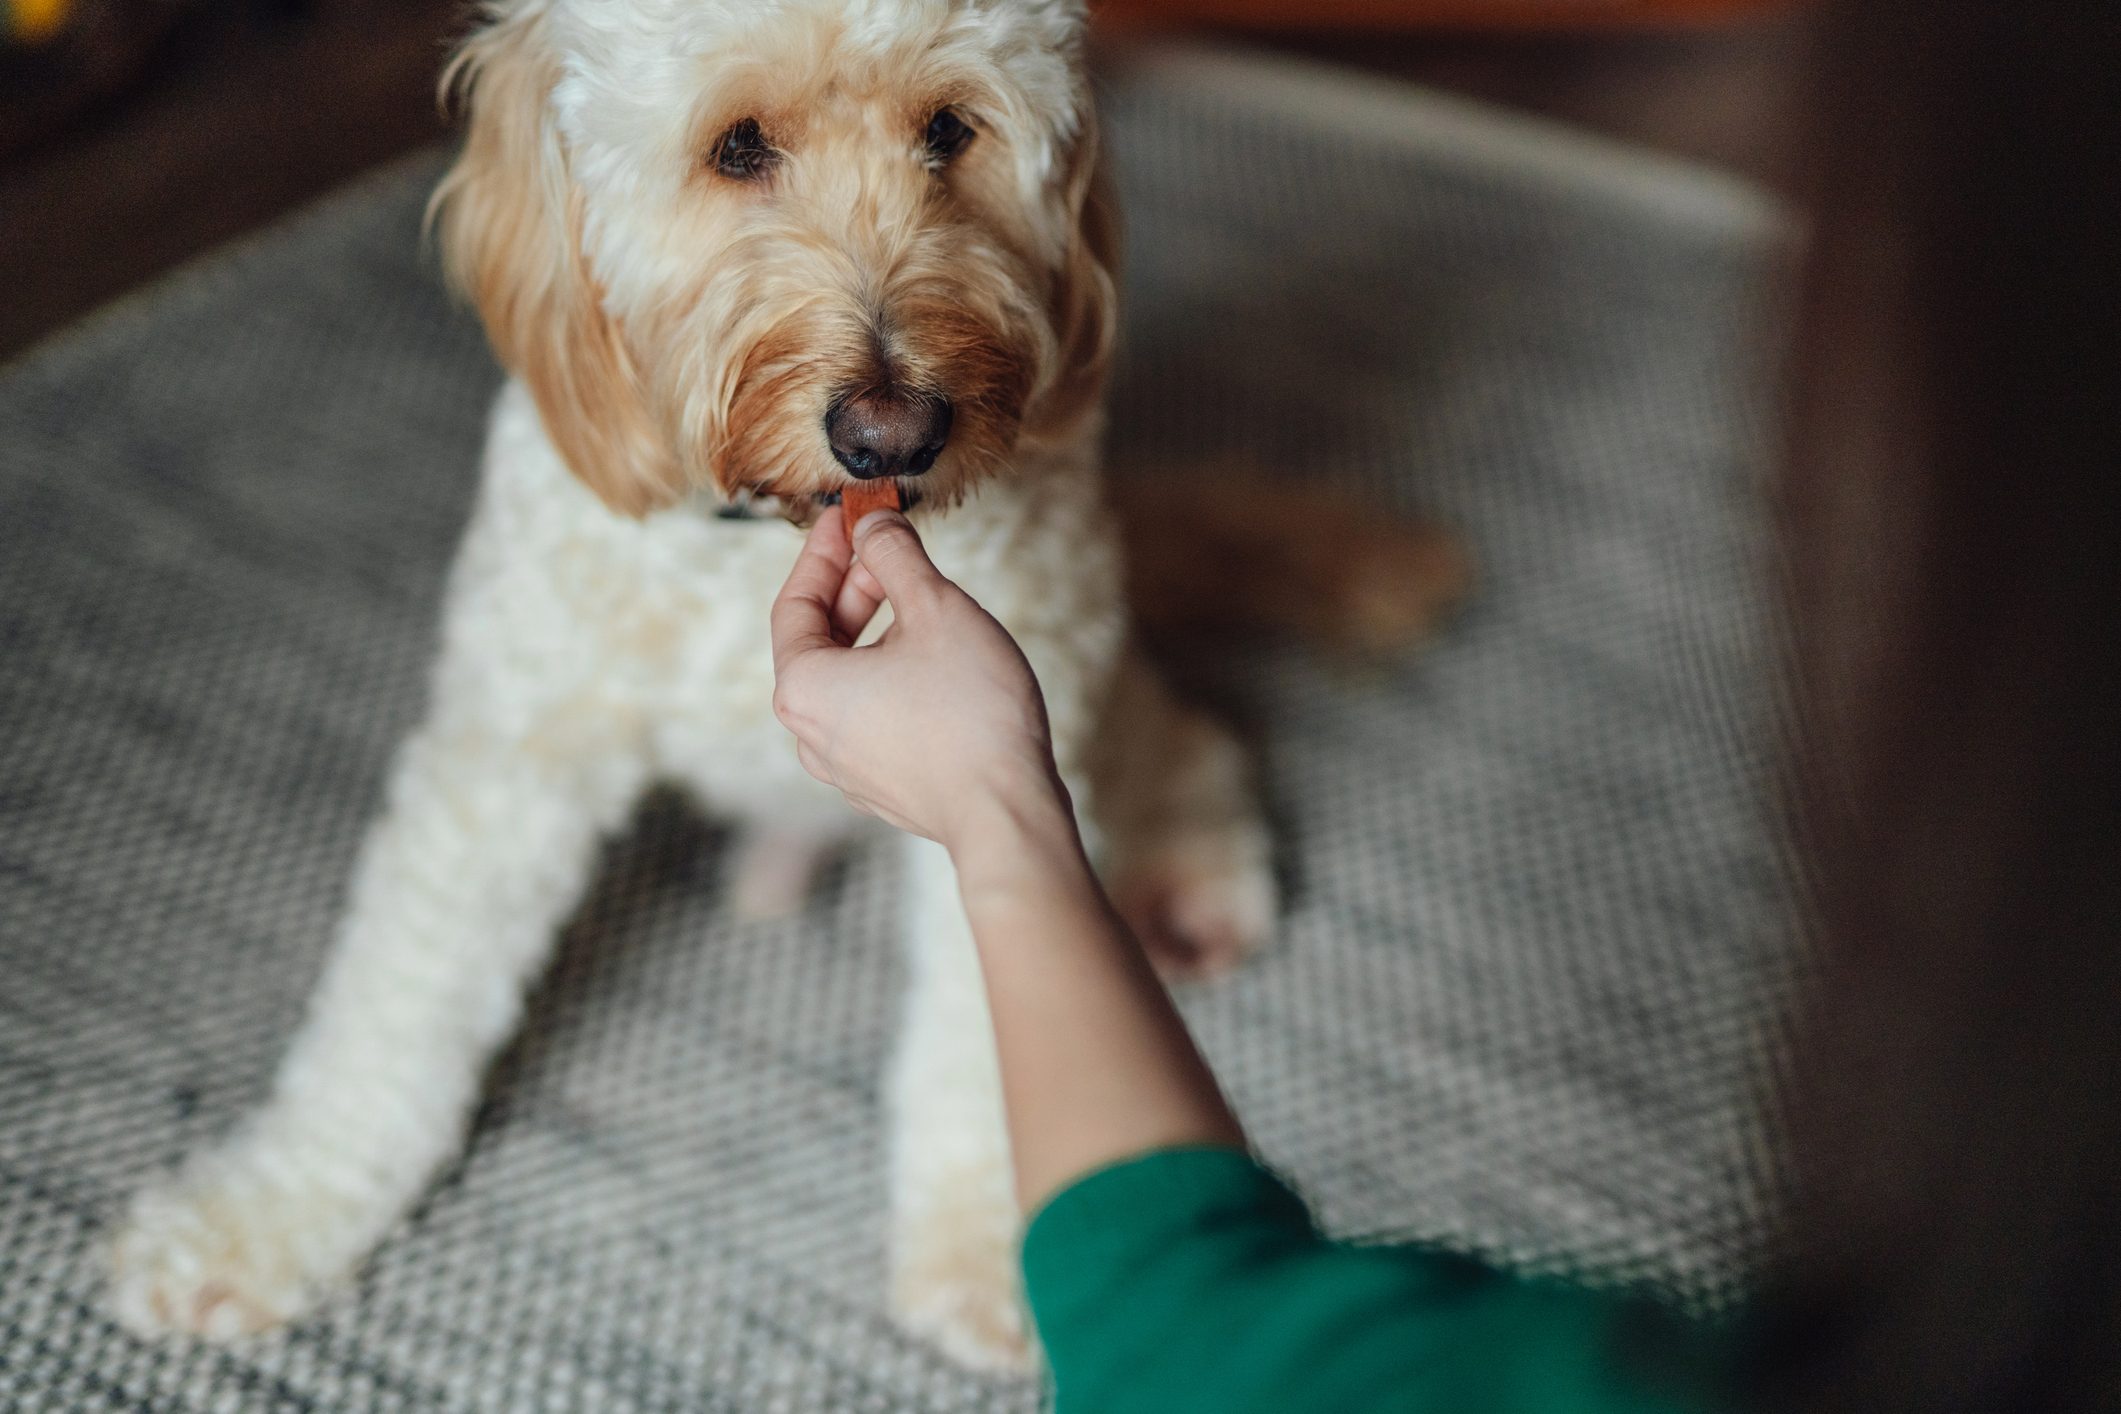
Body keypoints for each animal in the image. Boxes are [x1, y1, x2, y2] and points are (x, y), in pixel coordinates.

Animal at [103, 0, 1272, 1373]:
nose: (893, 434)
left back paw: (1196, 870)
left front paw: (1004, 1256)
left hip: (1088, 656)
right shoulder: (509, 755)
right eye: (739, 146)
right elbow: (394, 1003)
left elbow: (991, 1031)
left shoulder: (1010, 772)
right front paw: (266, 1217)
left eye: (950, 131)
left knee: (1175, 729)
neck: (755, 537)